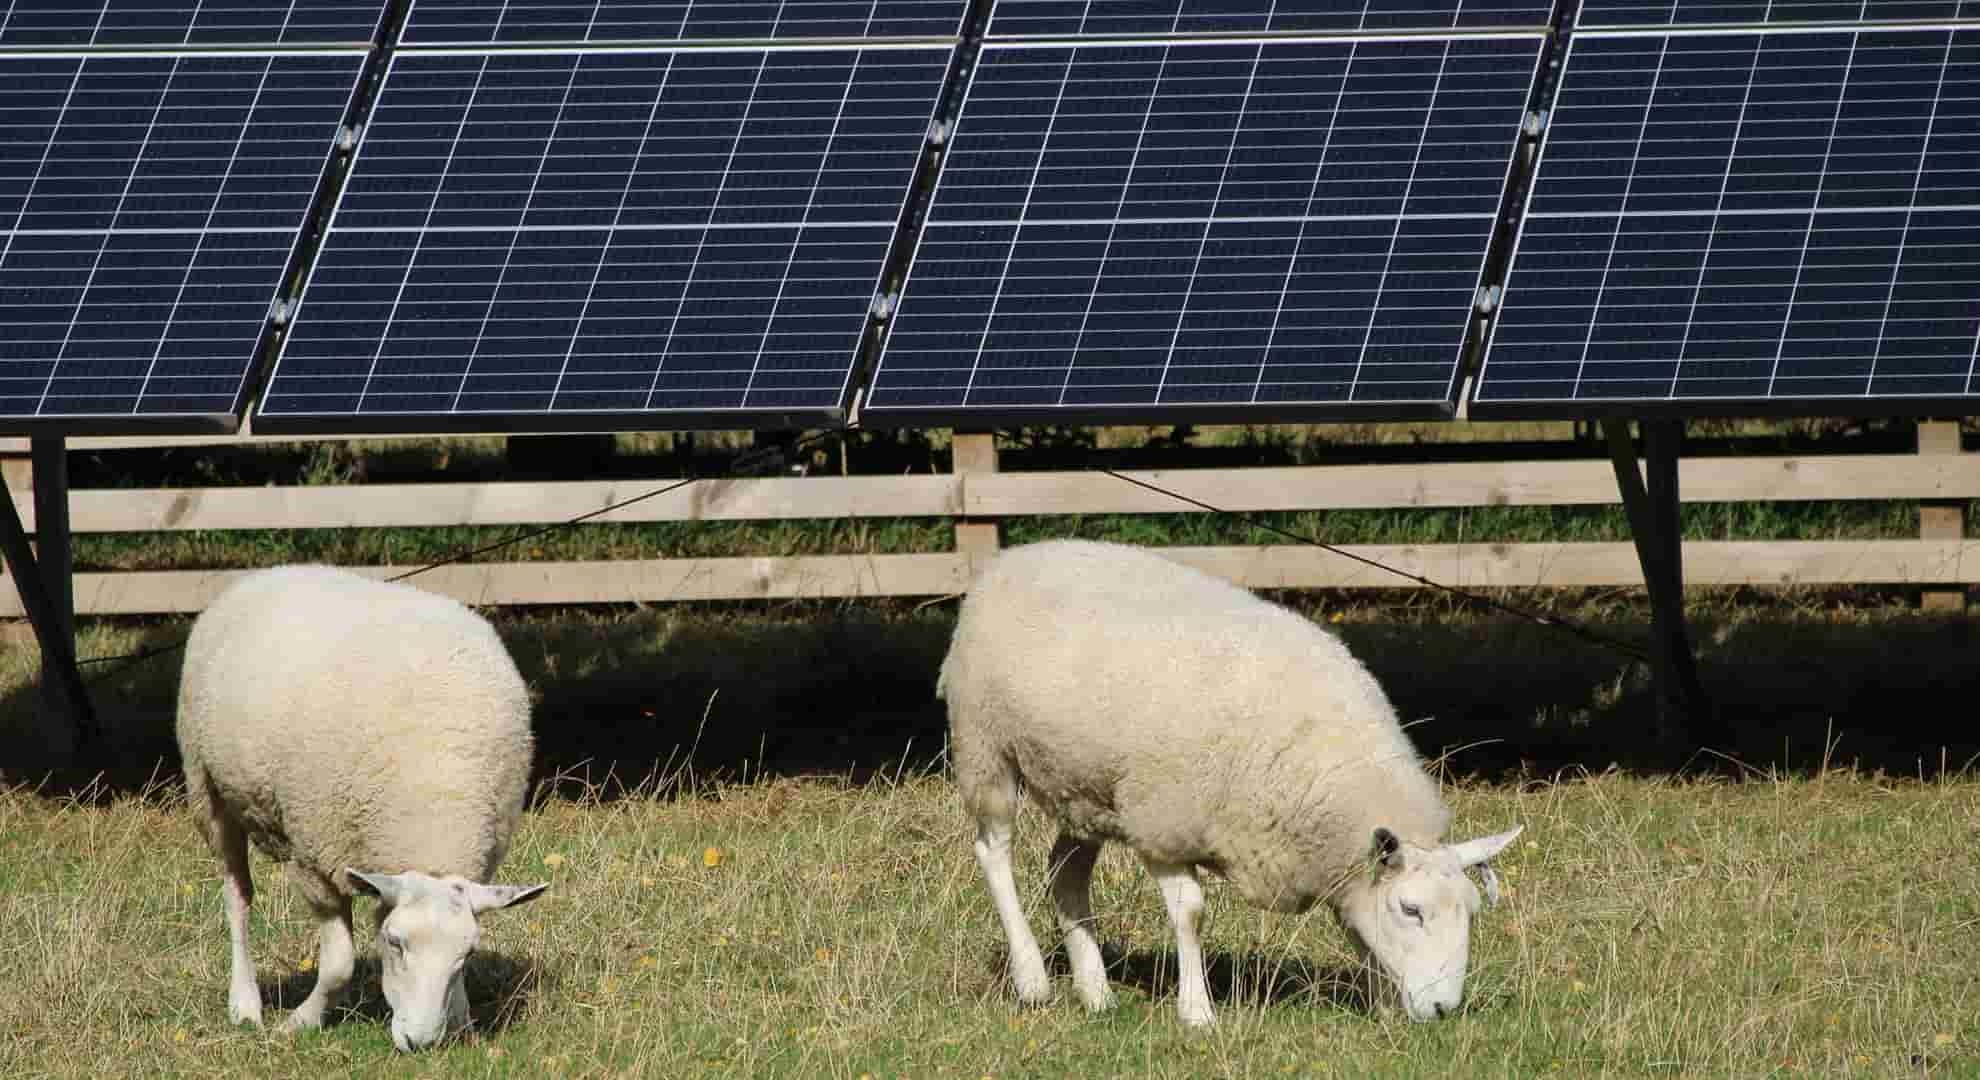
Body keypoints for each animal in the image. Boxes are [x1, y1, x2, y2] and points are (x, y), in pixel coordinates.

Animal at [174, 558, 546, 1046]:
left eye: (466, 955)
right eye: (395, 943)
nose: (420, 1043)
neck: (435, 800)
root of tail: (276, 570)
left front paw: (462, 1019)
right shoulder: (315, 861)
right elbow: (338, 966)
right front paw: (301, 1021)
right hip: (208, 789)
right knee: (237, 898)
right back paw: (245, 1003)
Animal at [934, 542, 1520, 1022]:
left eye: (1471, 912)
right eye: (1411, 910)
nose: (1444, 1010)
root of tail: (1013, 559)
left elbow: (1358, 926)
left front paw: (1382, 1003)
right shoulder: (1163, 822)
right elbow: (1191, 915)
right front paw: (1197, 1012)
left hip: (1086, 788)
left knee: (1065, 872)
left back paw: (1095, 990)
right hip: (985, 746)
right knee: (994, 851)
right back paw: (1032, 978)